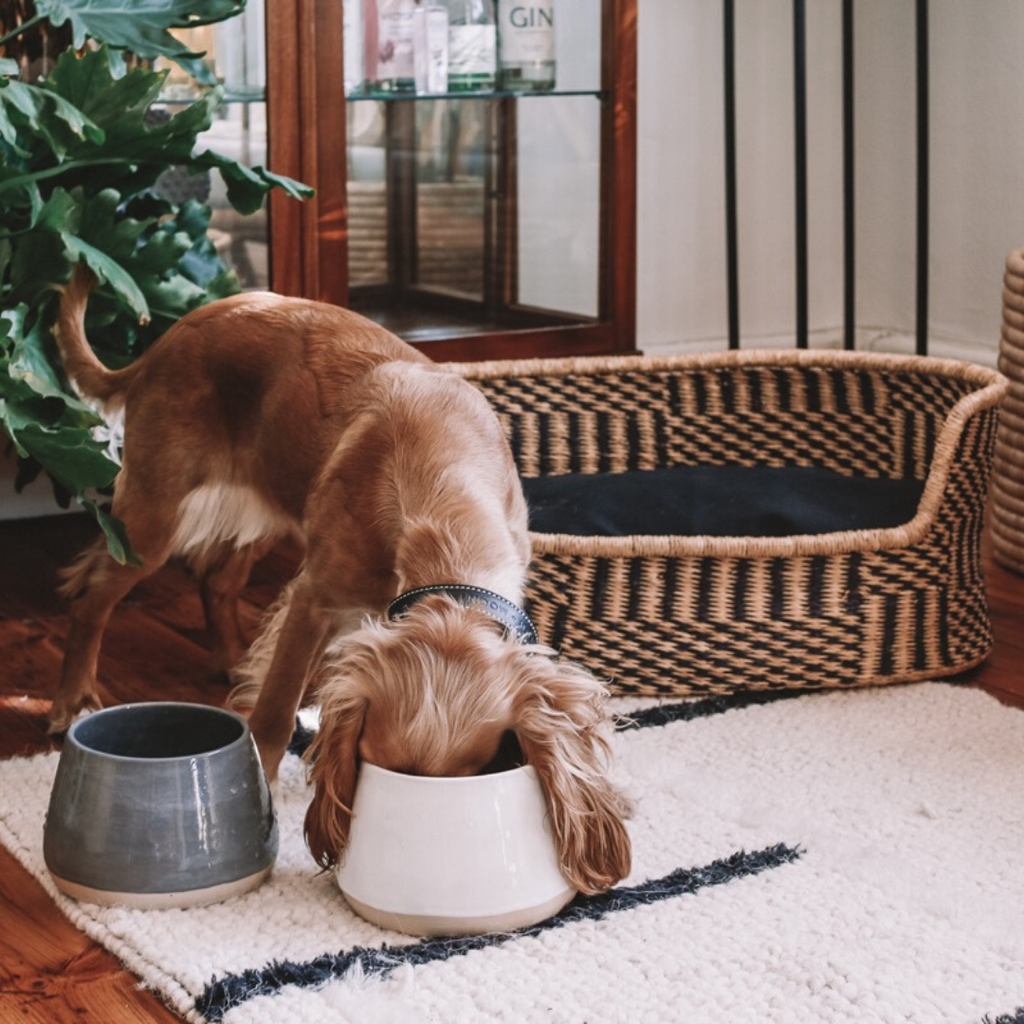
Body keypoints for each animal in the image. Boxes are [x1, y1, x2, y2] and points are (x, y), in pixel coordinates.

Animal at [51, 266, 626, 897]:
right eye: (371, 765)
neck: (441, 496)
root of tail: (170, 337)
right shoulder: (314, 599)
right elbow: (275, 714)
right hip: (156, 517)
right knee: (89, 593)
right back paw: (73, 700)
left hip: (272, 505)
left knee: (215, 578)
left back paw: (228, 660)